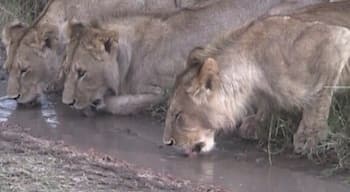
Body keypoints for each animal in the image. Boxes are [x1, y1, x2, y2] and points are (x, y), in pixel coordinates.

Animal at [163, 0, 350, 155]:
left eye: (178, 115)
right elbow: (268, 102)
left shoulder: (335, 39)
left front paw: (310, 136)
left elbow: (319, 99)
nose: (167, 142)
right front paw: (258, 123)